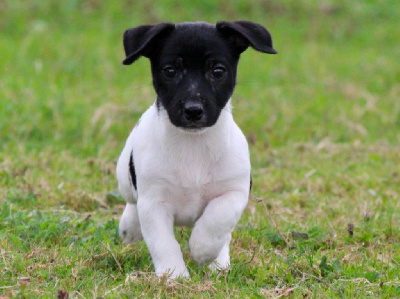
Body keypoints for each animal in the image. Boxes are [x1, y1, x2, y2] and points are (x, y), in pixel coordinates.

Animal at [115, 21, 276, 278]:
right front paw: (173, 276)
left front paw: (203, 250)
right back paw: (130, 227)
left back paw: (219, 261)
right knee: (131, 200)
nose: (193, 110)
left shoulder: (235, 191)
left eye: (218, 71)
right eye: (170, 71)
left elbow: (218, 218)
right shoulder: (153, 203)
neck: (193, 144)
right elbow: (163, 243)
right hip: (123, 174)